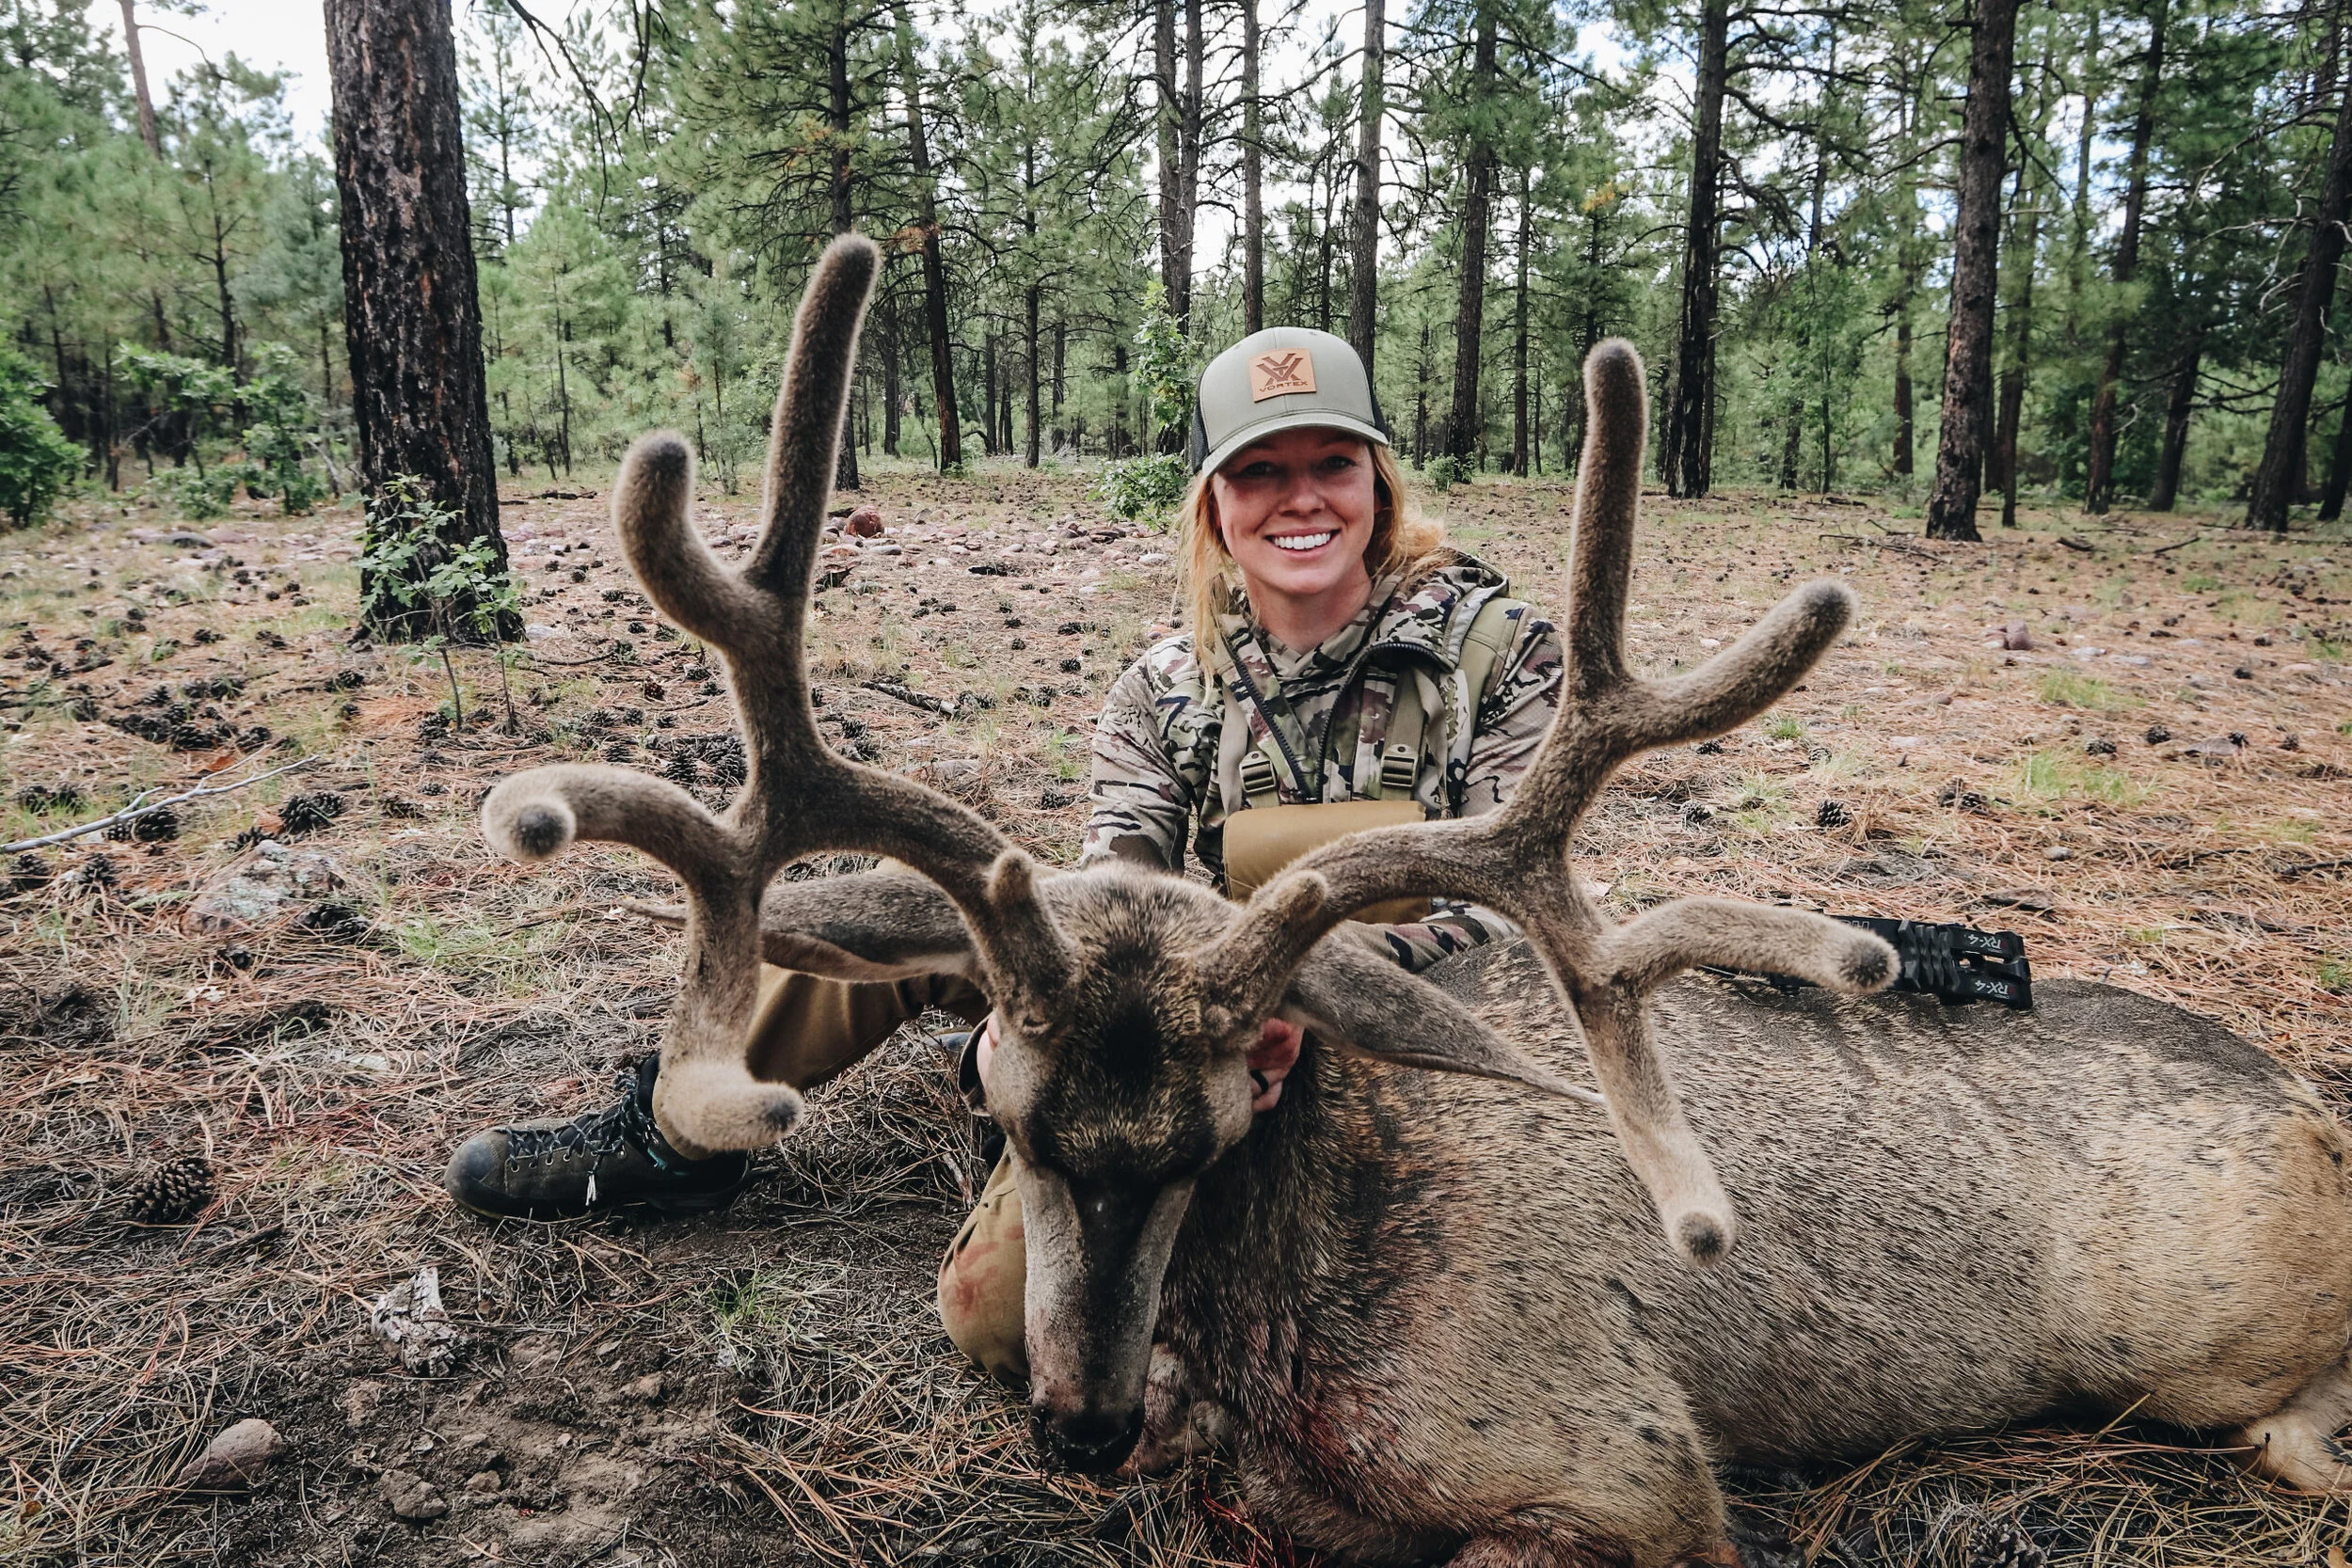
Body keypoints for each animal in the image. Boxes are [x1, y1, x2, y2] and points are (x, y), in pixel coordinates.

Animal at [480, 234, 2352, 1568]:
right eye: (1004, 1110)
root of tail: (2316, 1099)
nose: (1081, 1426)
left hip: (2210, 1343)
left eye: (1216, 1132)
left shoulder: (1624, 1466)